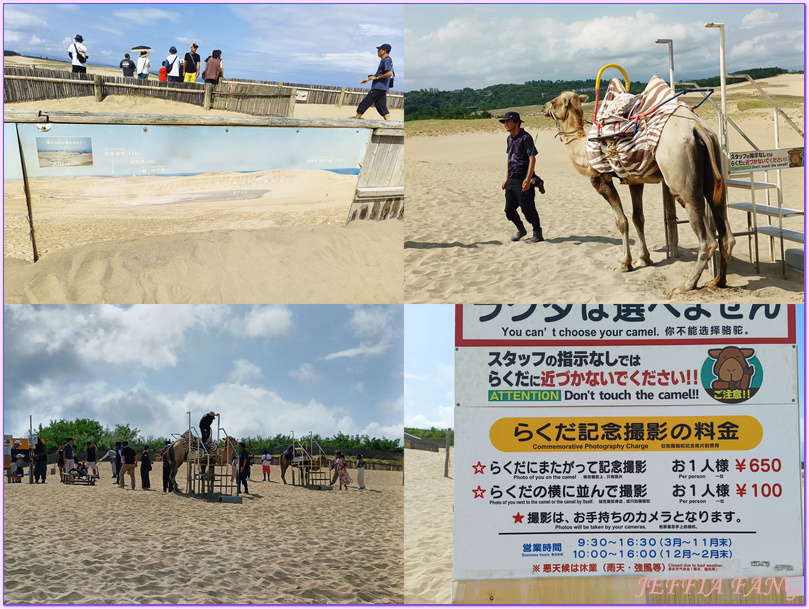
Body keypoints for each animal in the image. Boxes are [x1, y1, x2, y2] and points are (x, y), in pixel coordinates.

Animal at [540, 85, 736, 292]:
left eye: (554, 101)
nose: (543, 107)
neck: (583, 150)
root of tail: (697, 128)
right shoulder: (635, 181)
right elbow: (638, 218)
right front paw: (644, 259)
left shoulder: (601, 180)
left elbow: (622, 221)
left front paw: (624, 264)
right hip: (713, 169)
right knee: (724, 230)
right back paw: (717, 281)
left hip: (681, 178)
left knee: (707, 238)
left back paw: (687, 285)